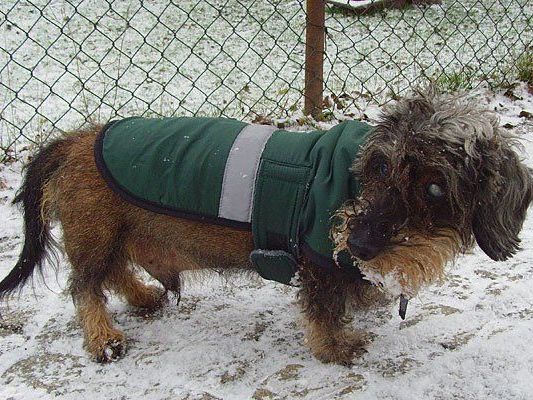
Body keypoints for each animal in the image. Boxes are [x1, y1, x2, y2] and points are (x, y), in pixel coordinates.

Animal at [1, 88, 532, 366]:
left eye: (436, 188)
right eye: (380, 167)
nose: (358, 244)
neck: (349, 183)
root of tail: (73, 141)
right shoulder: (317, 264)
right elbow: (323, 311)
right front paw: (336, 346)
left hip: (114, 233)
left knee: (113, 272)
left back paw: (144, 297)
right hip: (96, 233)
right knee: (85, 285)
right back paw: (103, 338)